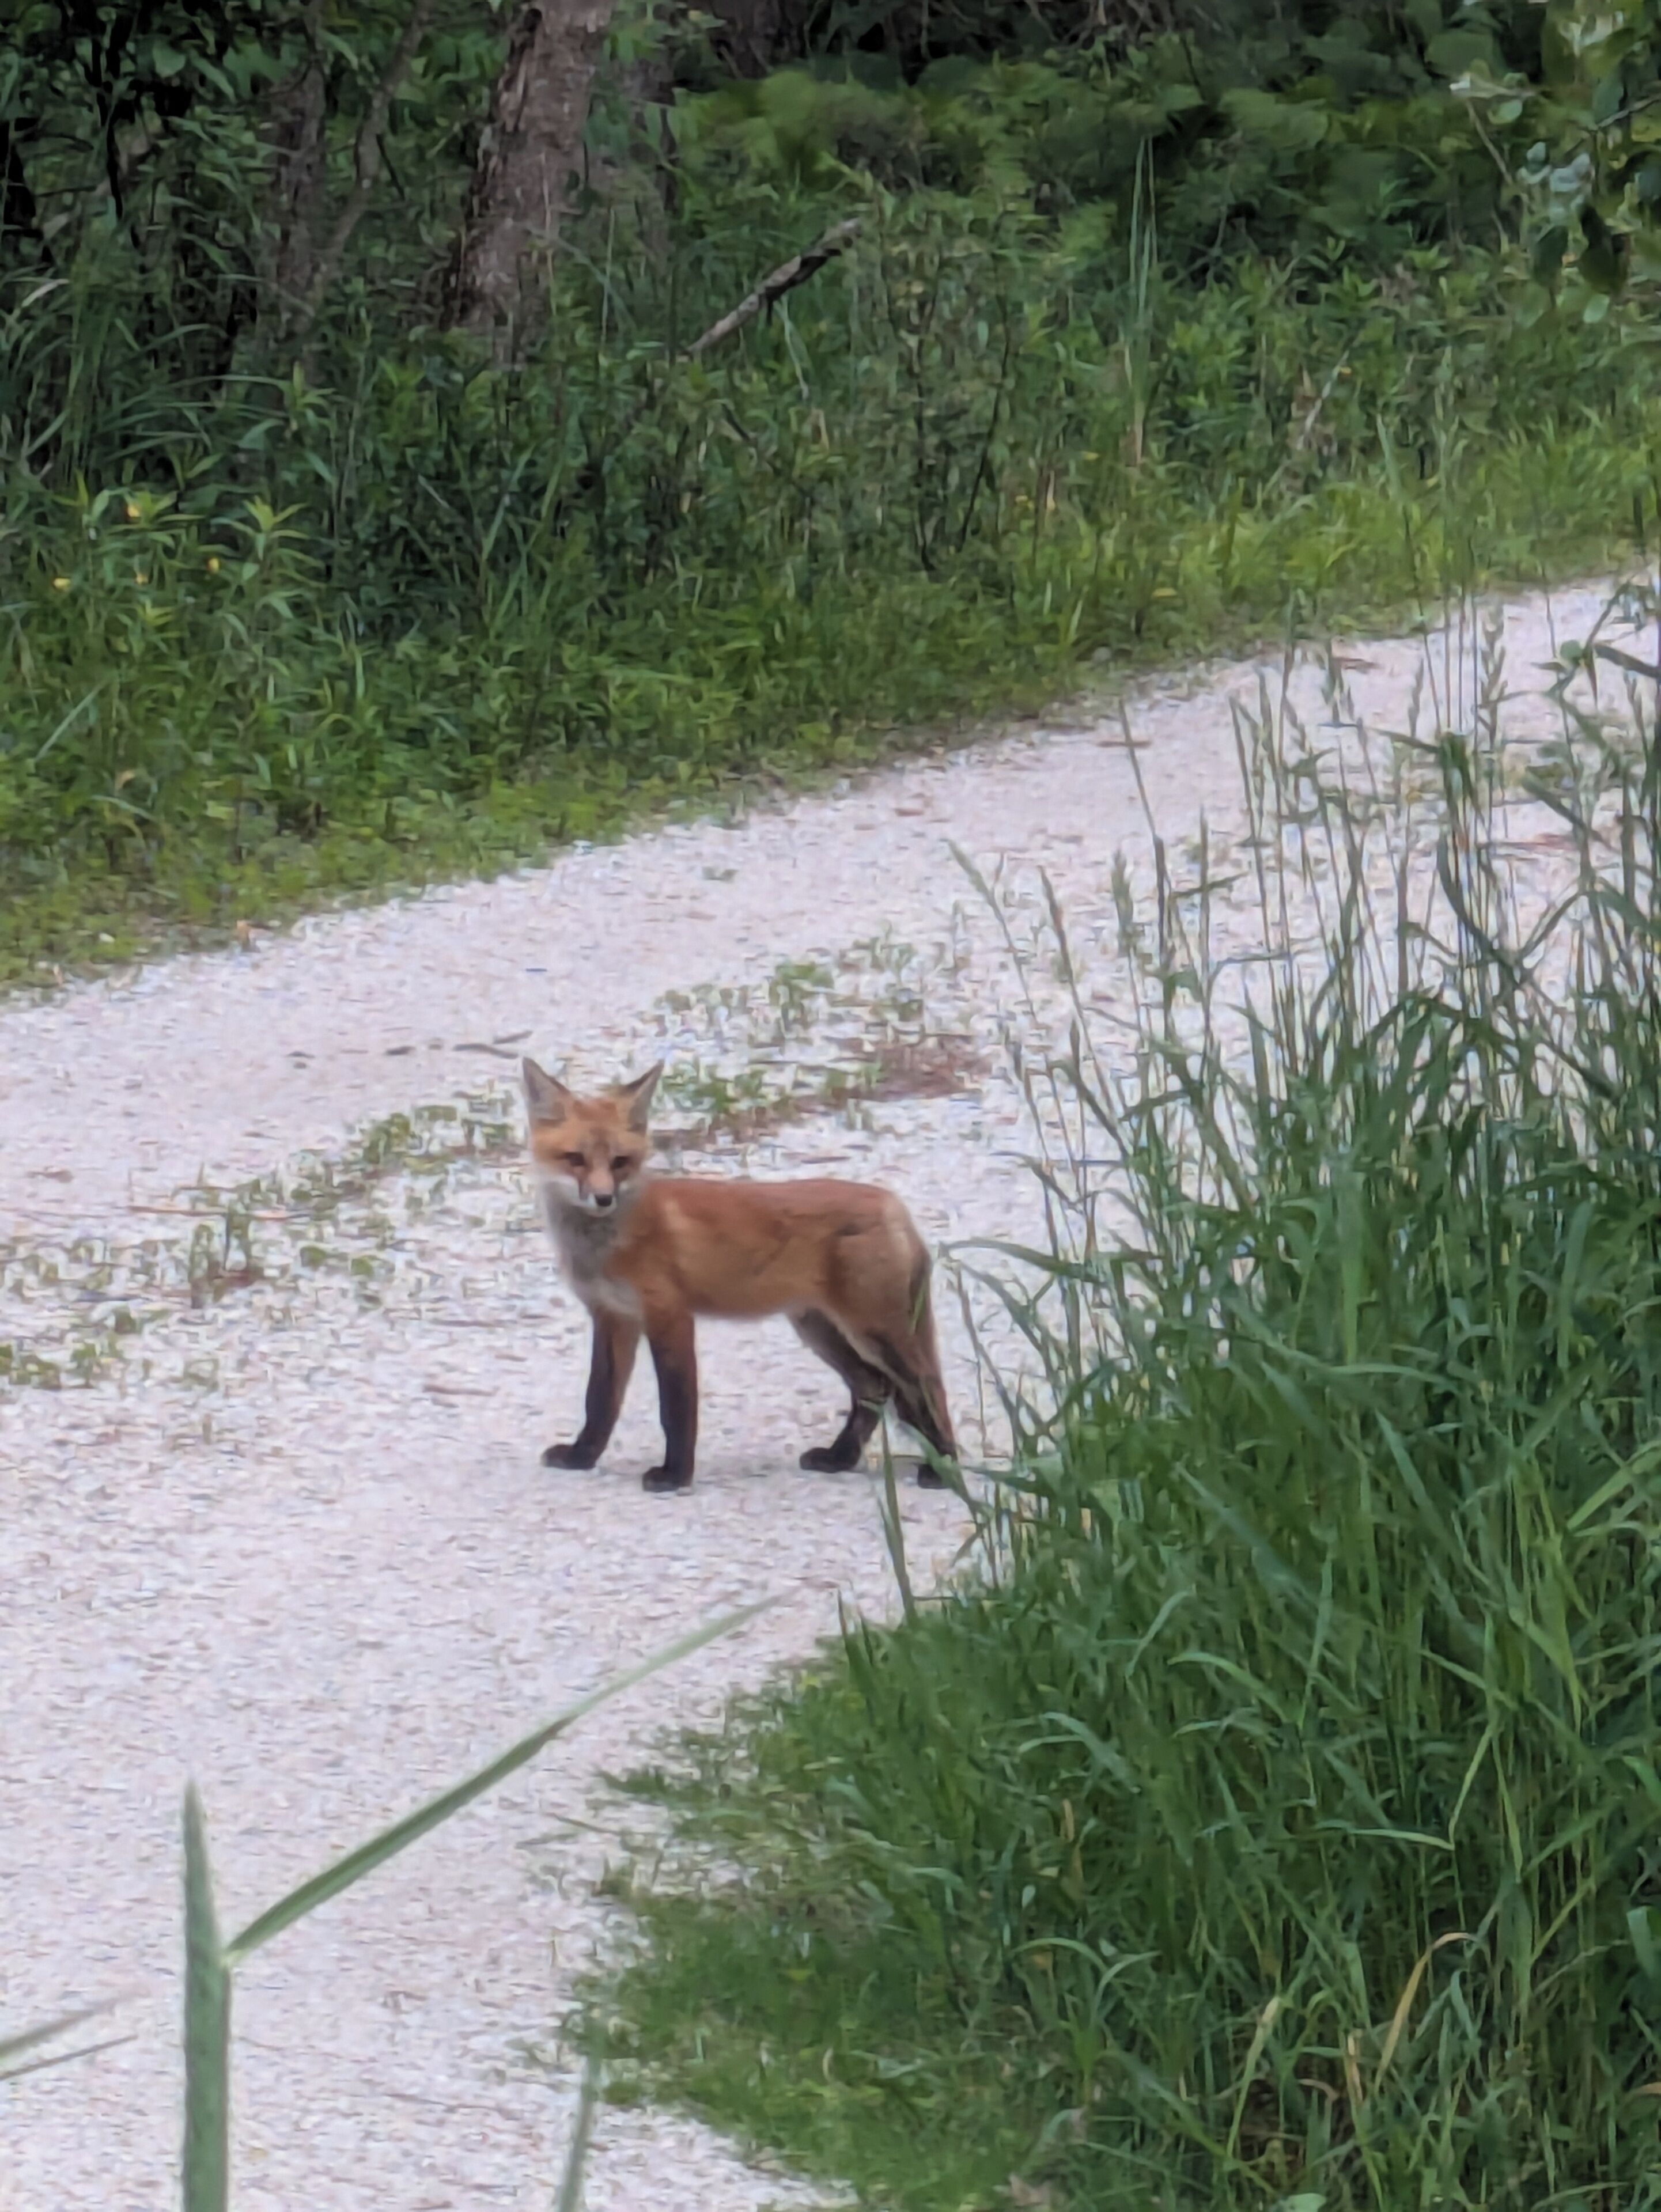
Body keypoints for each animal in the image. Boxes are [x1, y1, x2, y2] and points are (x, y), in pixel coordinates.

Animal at [522, 1058, 957, 1495]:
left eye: (619, 1162)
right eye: (575, 1158)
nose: (603, 1198)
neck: (608, 1242)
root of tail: (893, 1205)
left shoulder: (669, 1315)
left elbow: (676, 1406)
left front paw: (675, 1475)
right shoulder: (612, 1315)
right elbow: (599, 1399)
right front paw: (582, 1457)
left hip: (874, 1332)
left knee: (924, 1387)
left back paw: (944, 1471)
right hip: (819, 1329)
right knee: (873, 1387)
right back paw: (840, 1458)